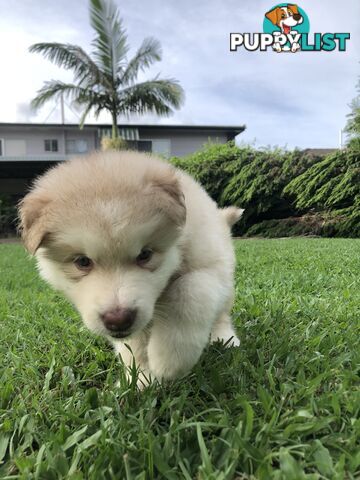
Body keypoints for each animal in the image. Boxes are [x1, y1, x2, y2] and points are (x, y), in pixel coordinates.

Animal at [18, 152, 243, 384]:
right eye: (82, 261)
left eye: (145, 254)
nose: (118, 320)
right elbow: (134, 347)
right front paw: (142, 379)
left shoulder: (210, 266)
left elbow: (190, 292)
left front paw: (170, 359)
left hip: (226, 283)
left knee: (221, 314)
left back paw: (224, 337)